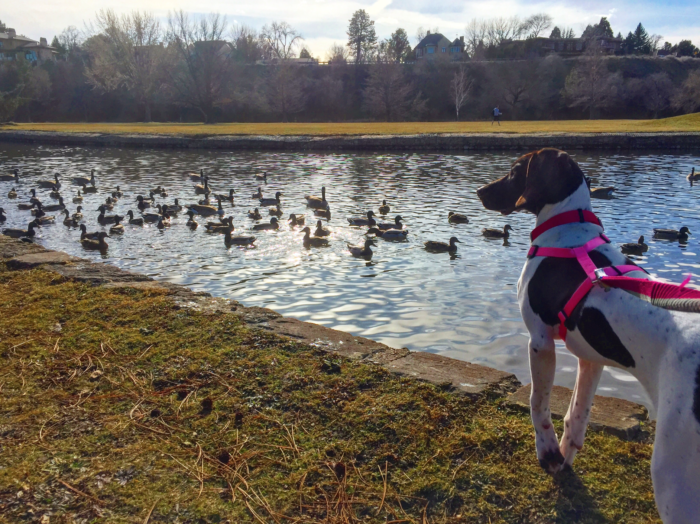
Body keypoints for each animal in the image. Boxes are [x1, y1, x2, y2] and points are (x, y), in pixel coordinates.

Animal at [476, 148, 700, 524]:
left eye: (515, 170)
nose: (479, 191)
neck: (569, 230)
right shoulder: (590, 358)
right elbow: (577, 414)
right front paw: (565, 456)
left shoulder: (539, 341)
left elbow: (538, 403)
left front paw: (548, 451)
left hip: (673, 474)